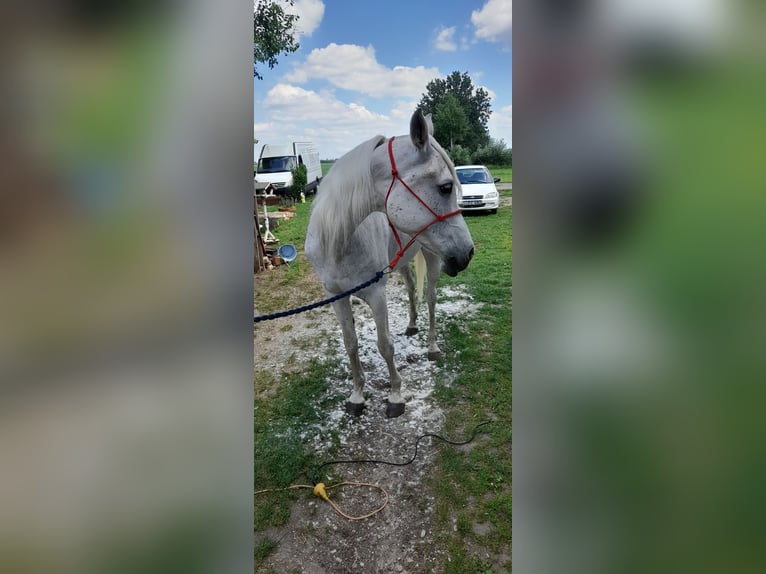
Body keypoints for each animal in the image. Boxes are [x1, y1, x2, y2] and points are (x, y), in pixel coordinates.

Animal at [306, 109, 474, 418]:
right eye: (445, 187)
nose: (468, 252)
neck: (339, 243)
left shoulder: (376, 294)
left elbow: (385, 345)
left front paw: (395, 395)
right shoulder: (335, 296)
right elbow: (350, 344)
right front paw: (357, 395)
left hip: (433, 257)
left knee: (430, 298)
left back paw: (432, 347)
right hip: (403, 262)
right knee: (410, 288)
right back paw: (411, 325)